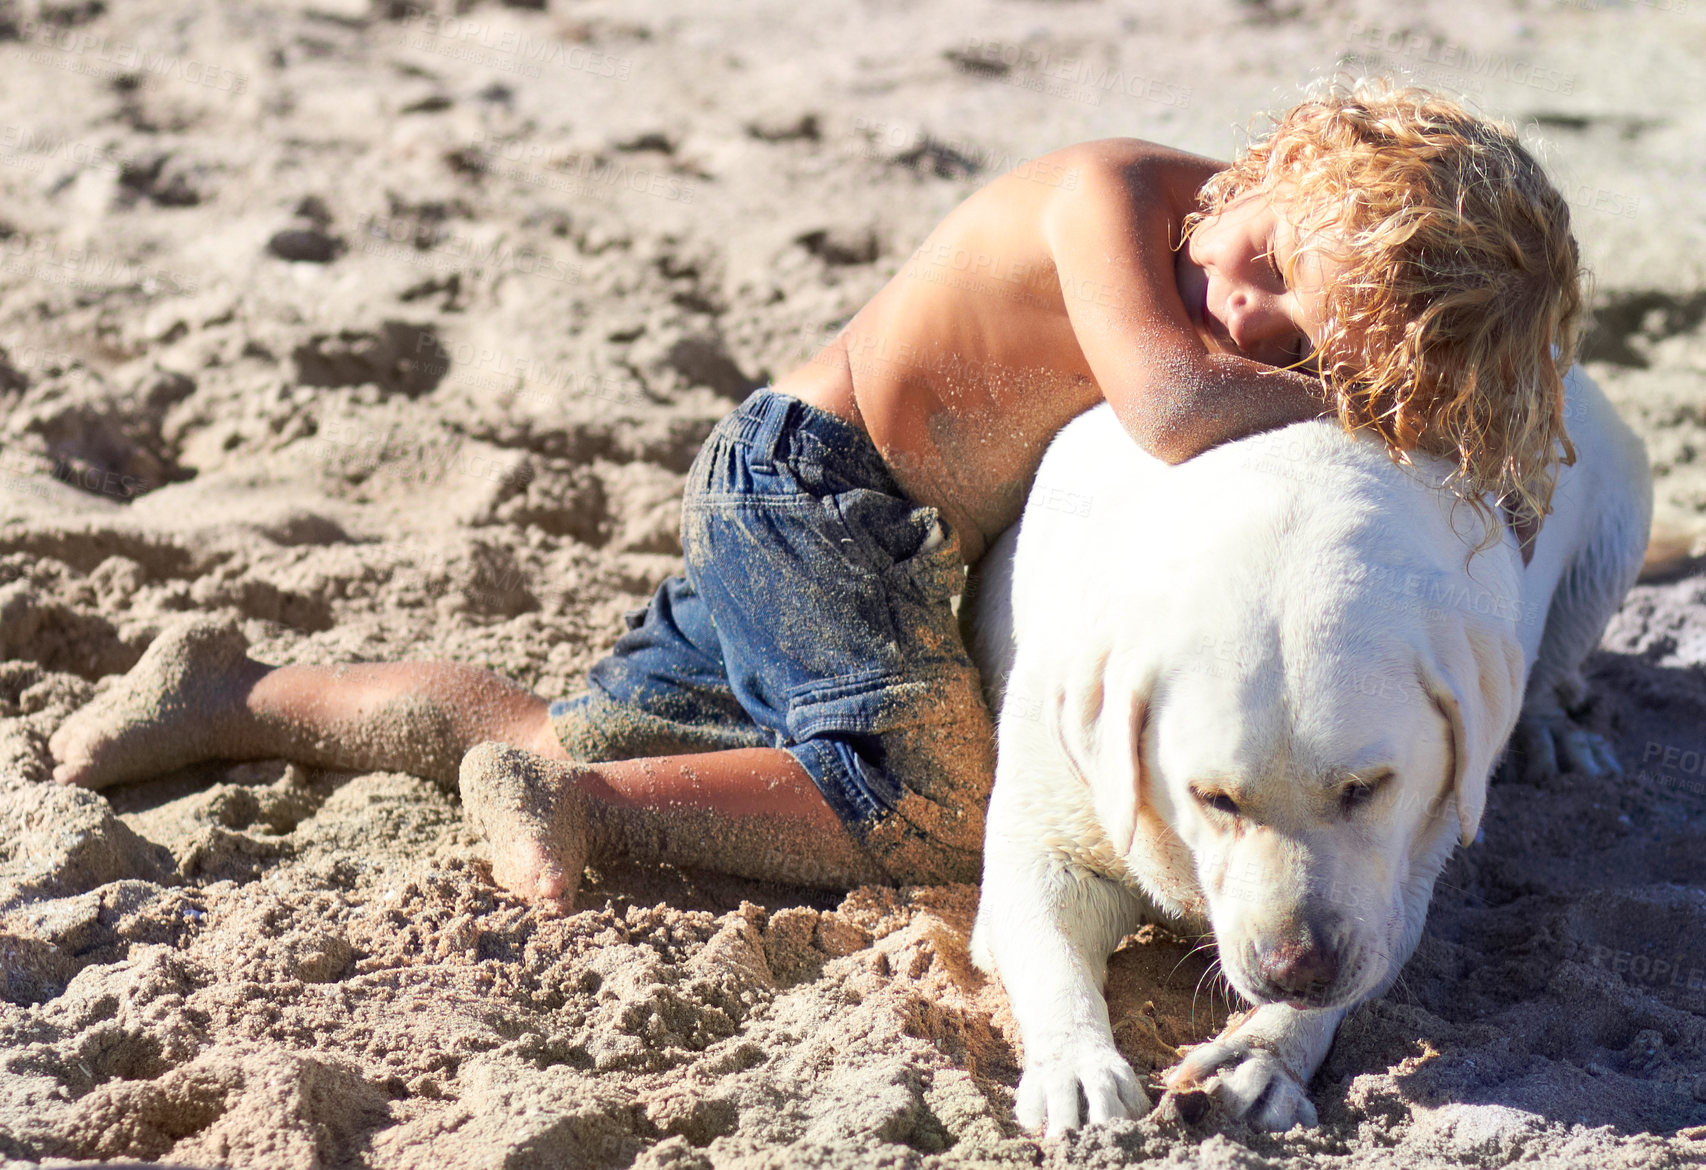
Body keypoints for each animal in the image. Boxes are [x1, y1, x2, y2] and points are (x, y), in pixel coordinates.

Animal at [975, 368, 1651, 1139]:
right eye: (1213, 798)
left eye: (1366, 788)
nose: (1296, 970)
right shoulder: (1057, 796)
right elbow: (1045, 932)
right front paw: (1078, 1067)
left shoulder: (1408, 864)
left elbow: (1374, 941)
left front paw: (1262, 1053)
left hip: (1615, 522)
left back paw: (1551, 730)